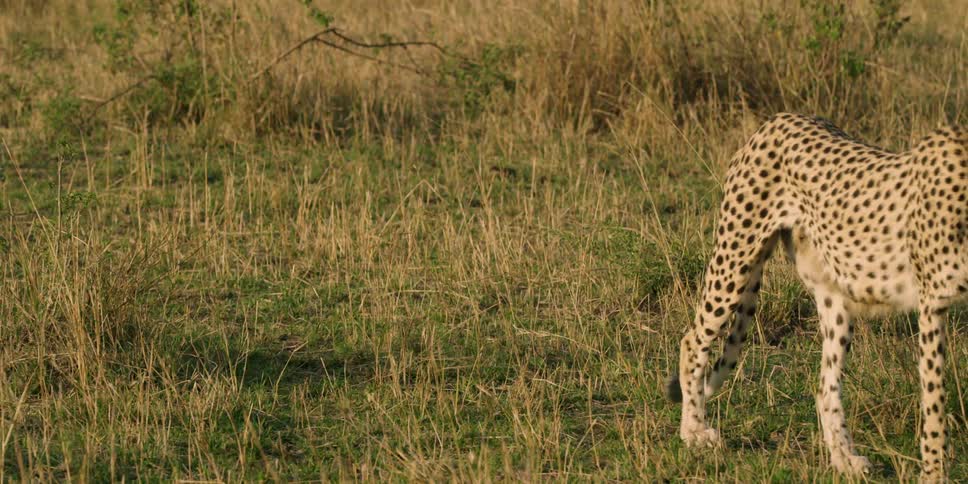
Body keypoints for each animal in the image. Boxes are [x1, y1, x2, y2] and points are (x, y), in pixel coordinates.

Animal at [667, 112, 965, 481]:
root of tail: (779, 119)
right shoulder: (931, 304)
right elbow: (935, 400)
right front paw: (935, 474)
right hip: (735, 258)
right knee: (693, 341)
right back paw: (693, 431)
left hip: (833, 298)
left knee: (826, 386)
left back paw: (845, 459)